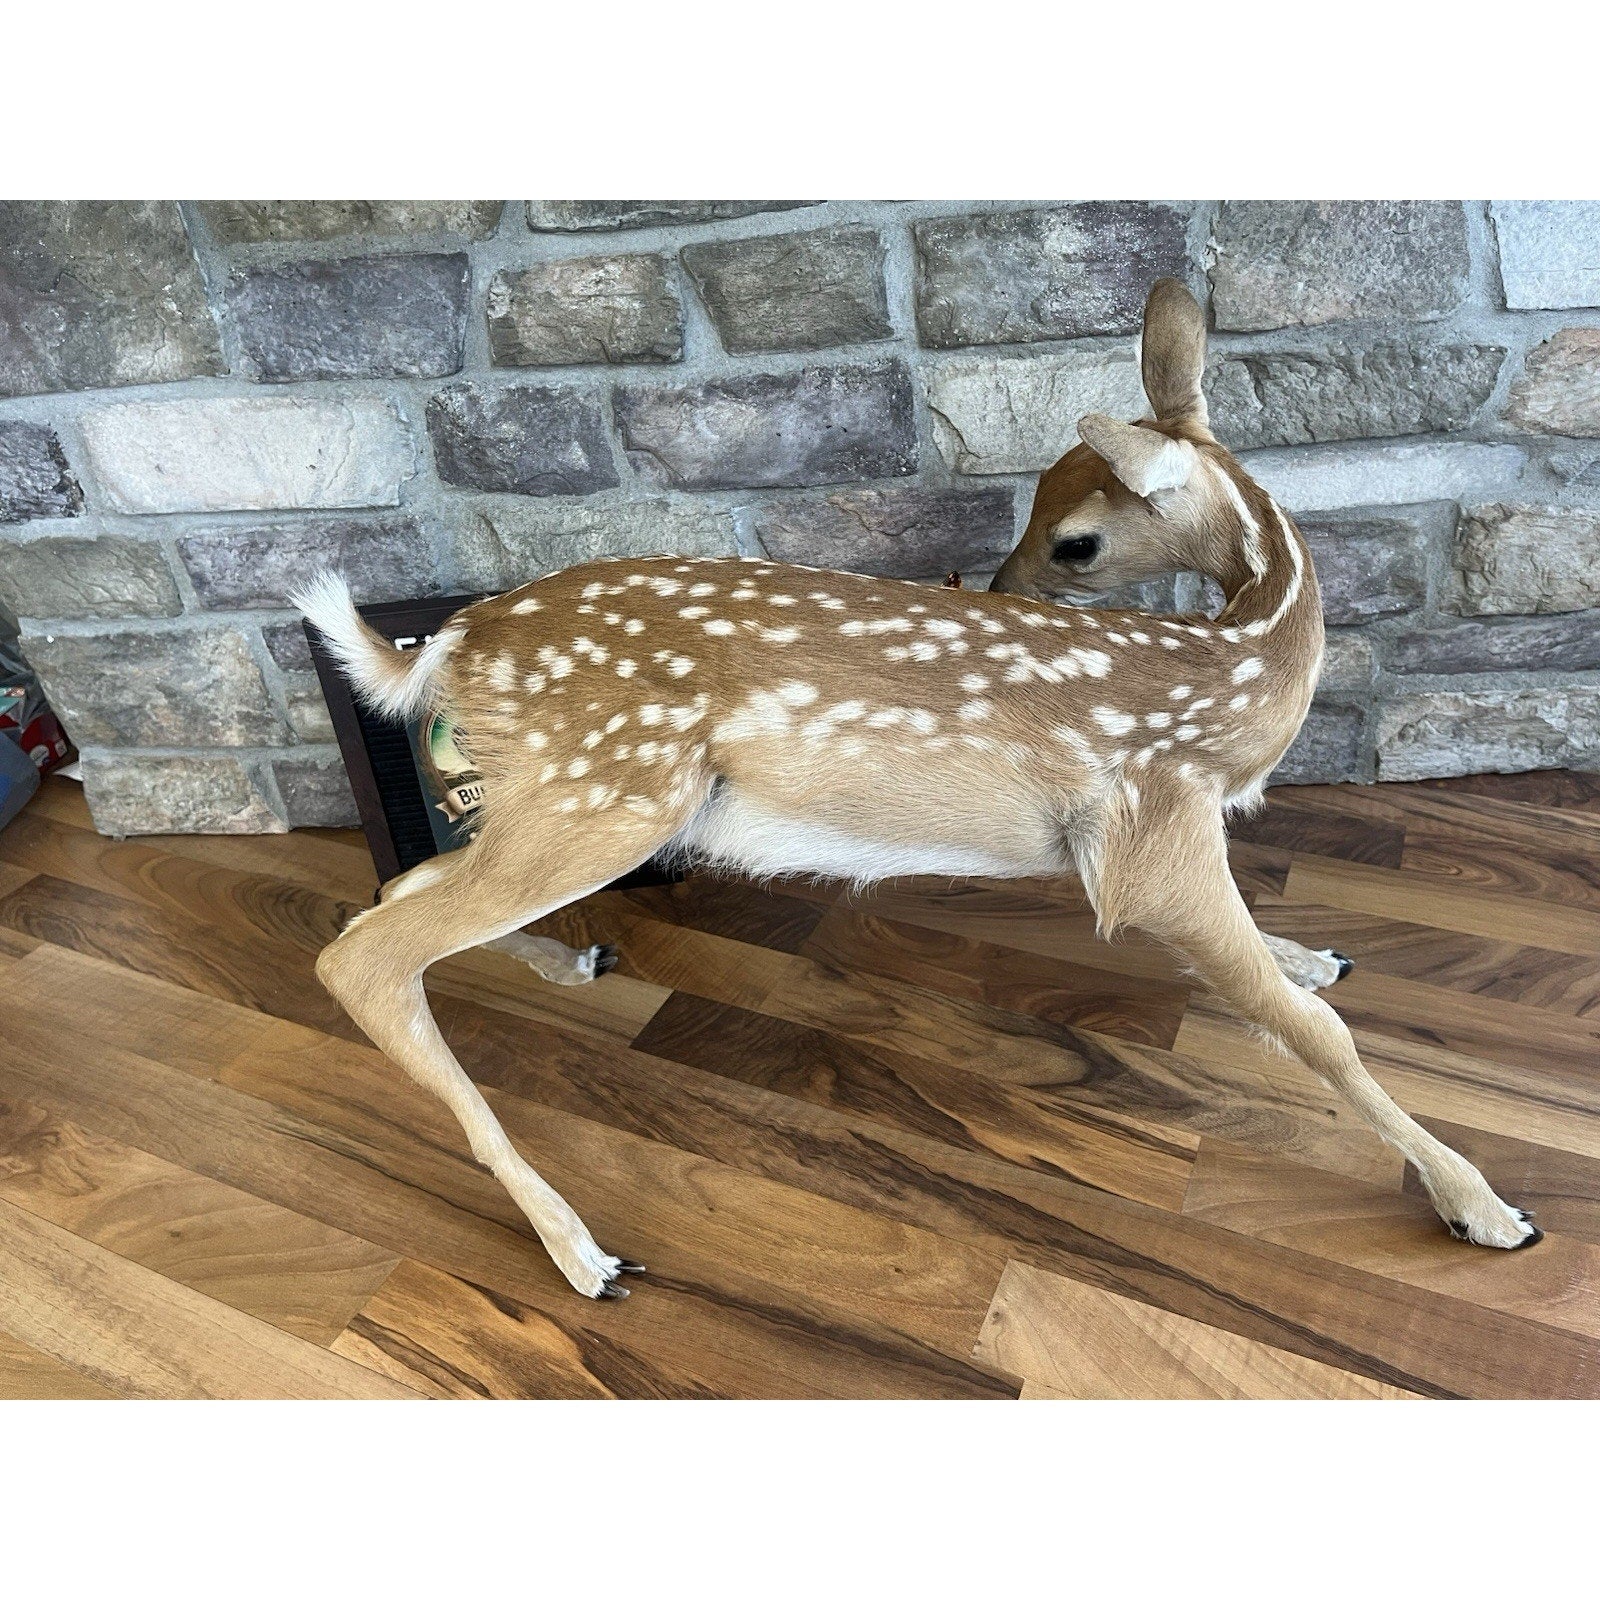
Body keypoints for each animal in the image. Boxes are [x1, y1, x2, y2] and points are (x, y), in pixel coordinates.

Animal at [296, 277, 1539, 1300]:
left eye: (1069, 531)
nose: (994, 583)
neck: (1232, 679)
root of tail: (447, 647)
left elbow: (1290, 986)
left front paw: (1312, 954)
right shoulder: (1147, 831)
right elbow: (1314, 1035)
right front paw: (1484, 1203)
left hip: (555, 797)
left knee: (395, 889)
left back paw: (575, 965)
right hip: (610, 787)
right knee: (364, 954)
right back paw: (586, 1253)